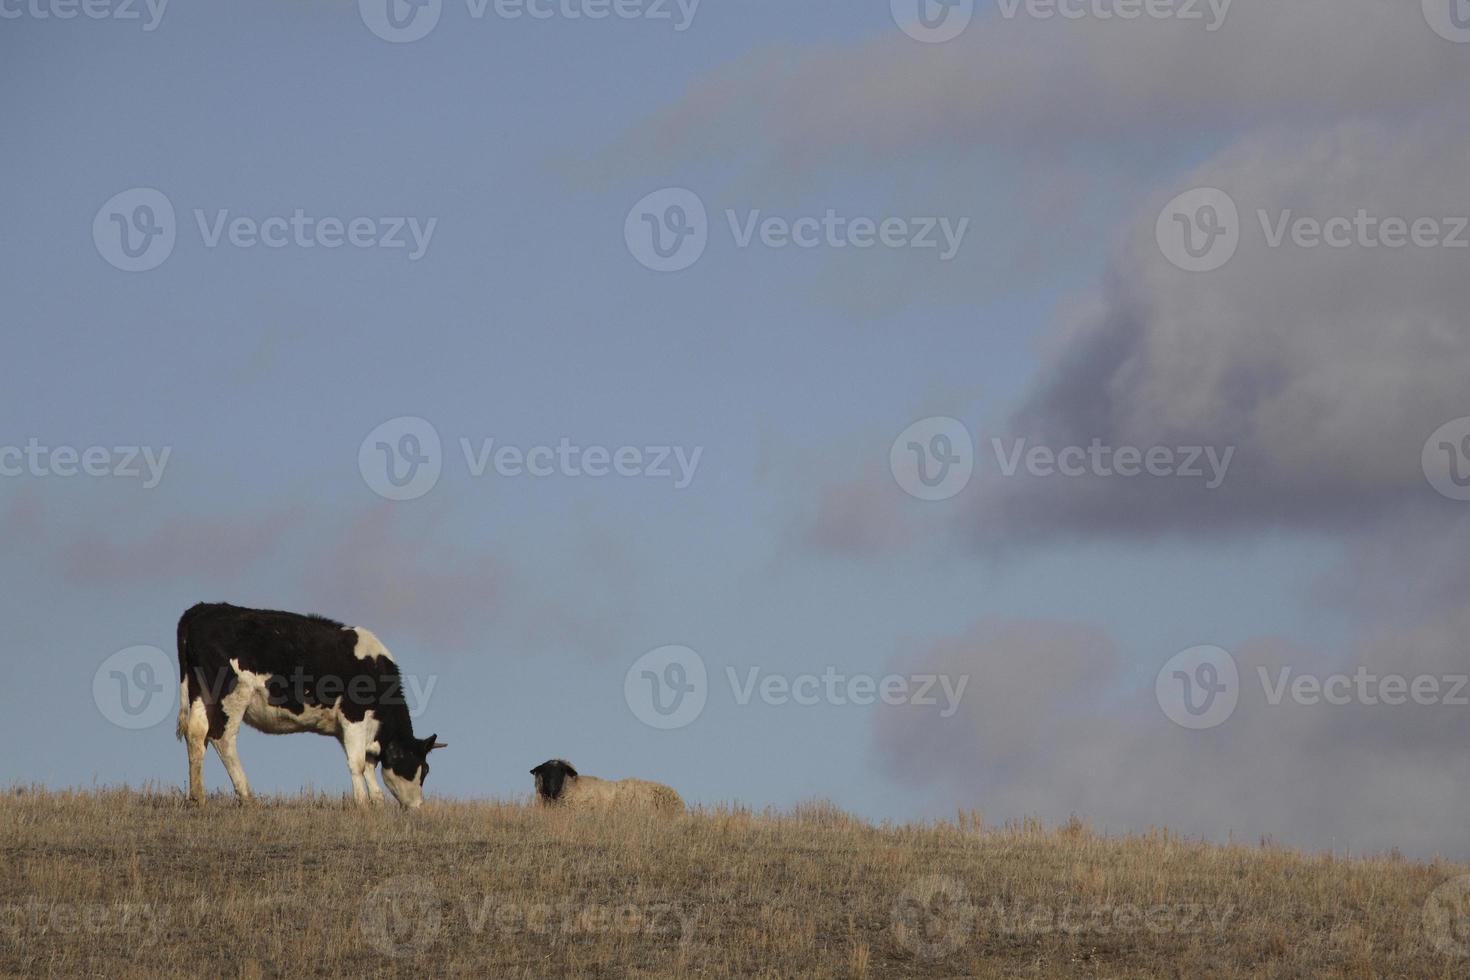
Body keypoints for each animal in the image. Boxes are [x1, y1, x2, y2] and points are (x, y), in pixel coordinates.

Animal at [175, 602, 443, 811]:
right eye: (422, 769)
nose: (417, 807)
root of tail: (203, 609)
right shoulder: (354, 715)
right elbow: (357, 763)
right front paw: (363, 804)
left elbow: (367, 763)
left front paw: (377, 801)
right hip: (233, 693)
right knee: (222, 737)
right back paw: (247, 797)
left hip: (199, 691)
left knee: (197, 734)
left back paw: (197, 797)